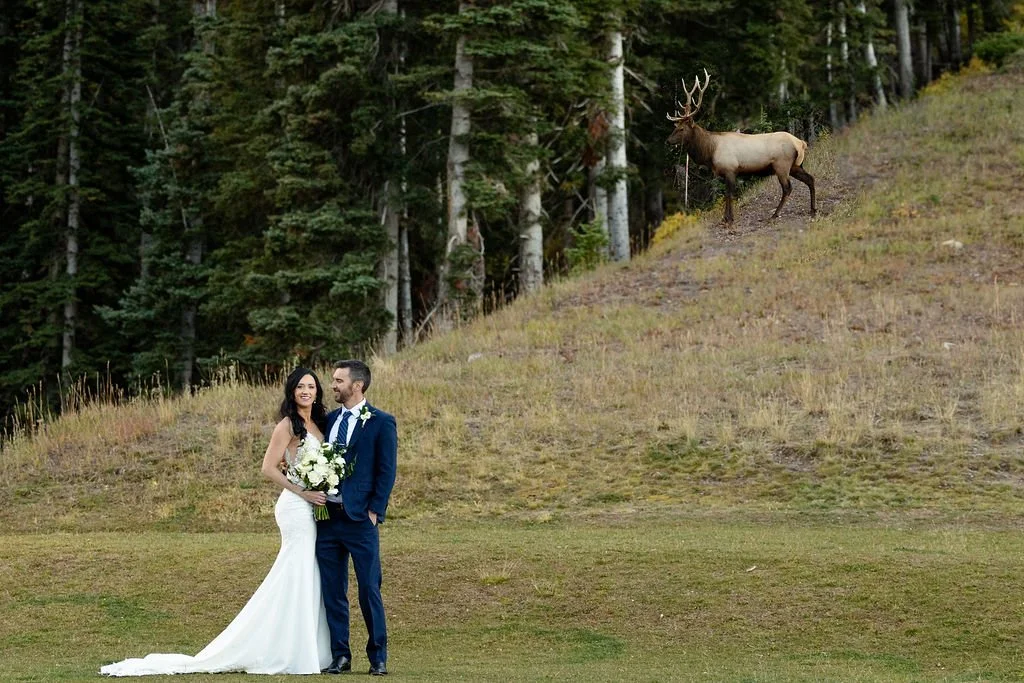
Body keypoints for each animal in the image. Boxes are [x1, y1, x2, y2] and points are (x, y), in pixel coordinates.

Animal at [667, 69, 816, 226]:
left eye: (681, 129)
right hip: (795, 166)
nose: (668, 140)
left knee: (787, 188)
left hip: (782, 165)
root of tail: (800, 143)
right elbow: (727, 194)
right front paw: (725, 218)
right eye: (675, 127)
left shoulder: (730, 169)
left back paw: (774, 215)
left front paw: (729, 219)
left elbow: (729, 194)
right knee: (810, 179)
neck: (710, 151)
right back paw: (813, 210)